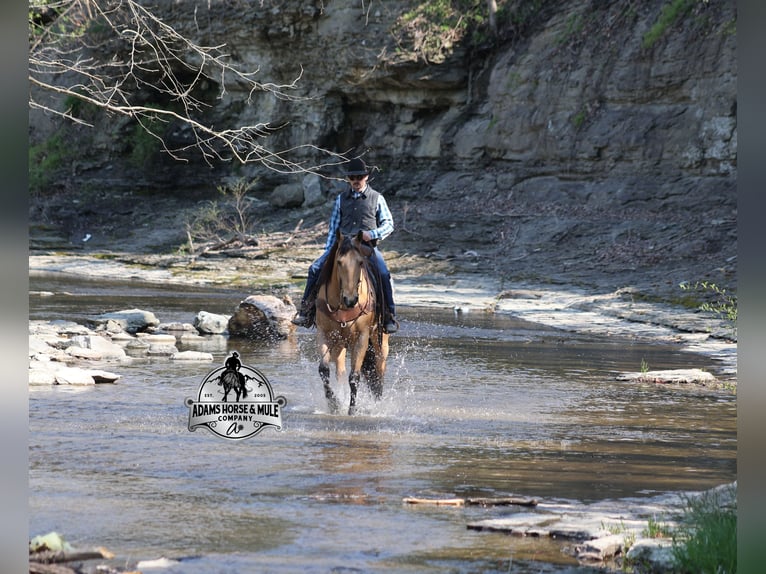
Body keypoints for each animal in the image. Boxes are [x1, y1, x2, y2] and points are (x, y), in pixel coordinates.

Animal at [314, 230, 389, 415]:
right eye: (339, 262)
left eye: (360, 262)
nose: (350, 299)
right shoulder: (324, 333)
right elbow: (324, 370)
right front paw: (334, 404)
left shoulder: (361, 337)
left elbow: (354, 377)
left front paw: (352, 411)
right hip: (340, 344)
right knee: (340, 372)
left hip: (380, 343)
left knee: (379, 372)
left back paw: (377, 404)